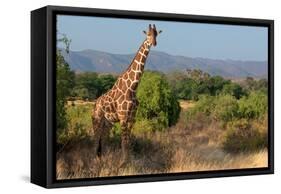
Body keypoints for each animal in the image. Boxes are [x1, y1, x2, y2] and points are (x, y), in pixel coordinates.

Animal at [91, 24, 162, 163]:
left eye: (156, 34)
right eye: (148, 34)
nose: (154, 43)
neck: (132, 87)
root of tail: (95, 103)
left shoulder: (132, 118)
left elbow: (128, 141)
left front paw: (129, 161)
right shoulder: (123, 116)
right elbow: (123, 141)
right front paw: (123, 162)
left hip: (108, 122)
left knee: (104, 138)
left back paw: (104, 159)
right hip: (97, 119)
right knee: (96, 138)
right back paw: (96, 160)